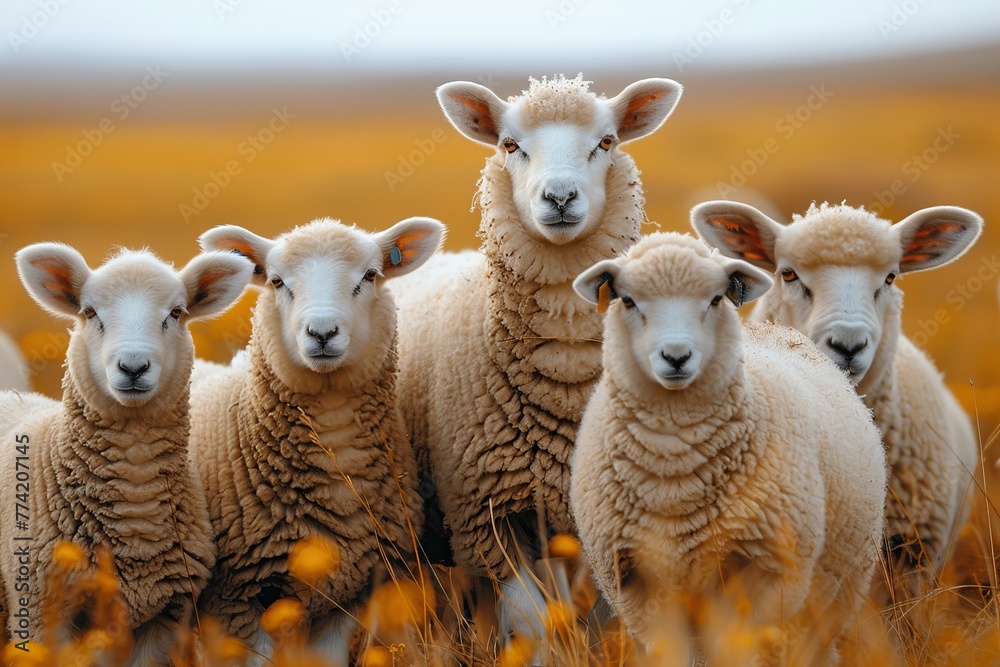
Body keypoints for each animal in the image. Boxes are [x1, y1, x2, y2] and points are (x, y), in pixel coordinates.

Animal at [391, 74, 682, 635]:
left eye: (606, 142)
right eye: (510, 145)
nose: (560, 196)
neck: (565, 375)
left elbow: (606, 622)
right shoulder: (489, 518)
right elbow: (529, 621)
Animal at [570, 232, 886, 656]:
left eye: (716, 299)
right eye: (629, 301)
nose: (676, 356)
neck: (675, 470)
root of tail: (773, 330)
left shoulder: (766, 572)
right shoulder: (635, 579)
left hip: (838, 592)